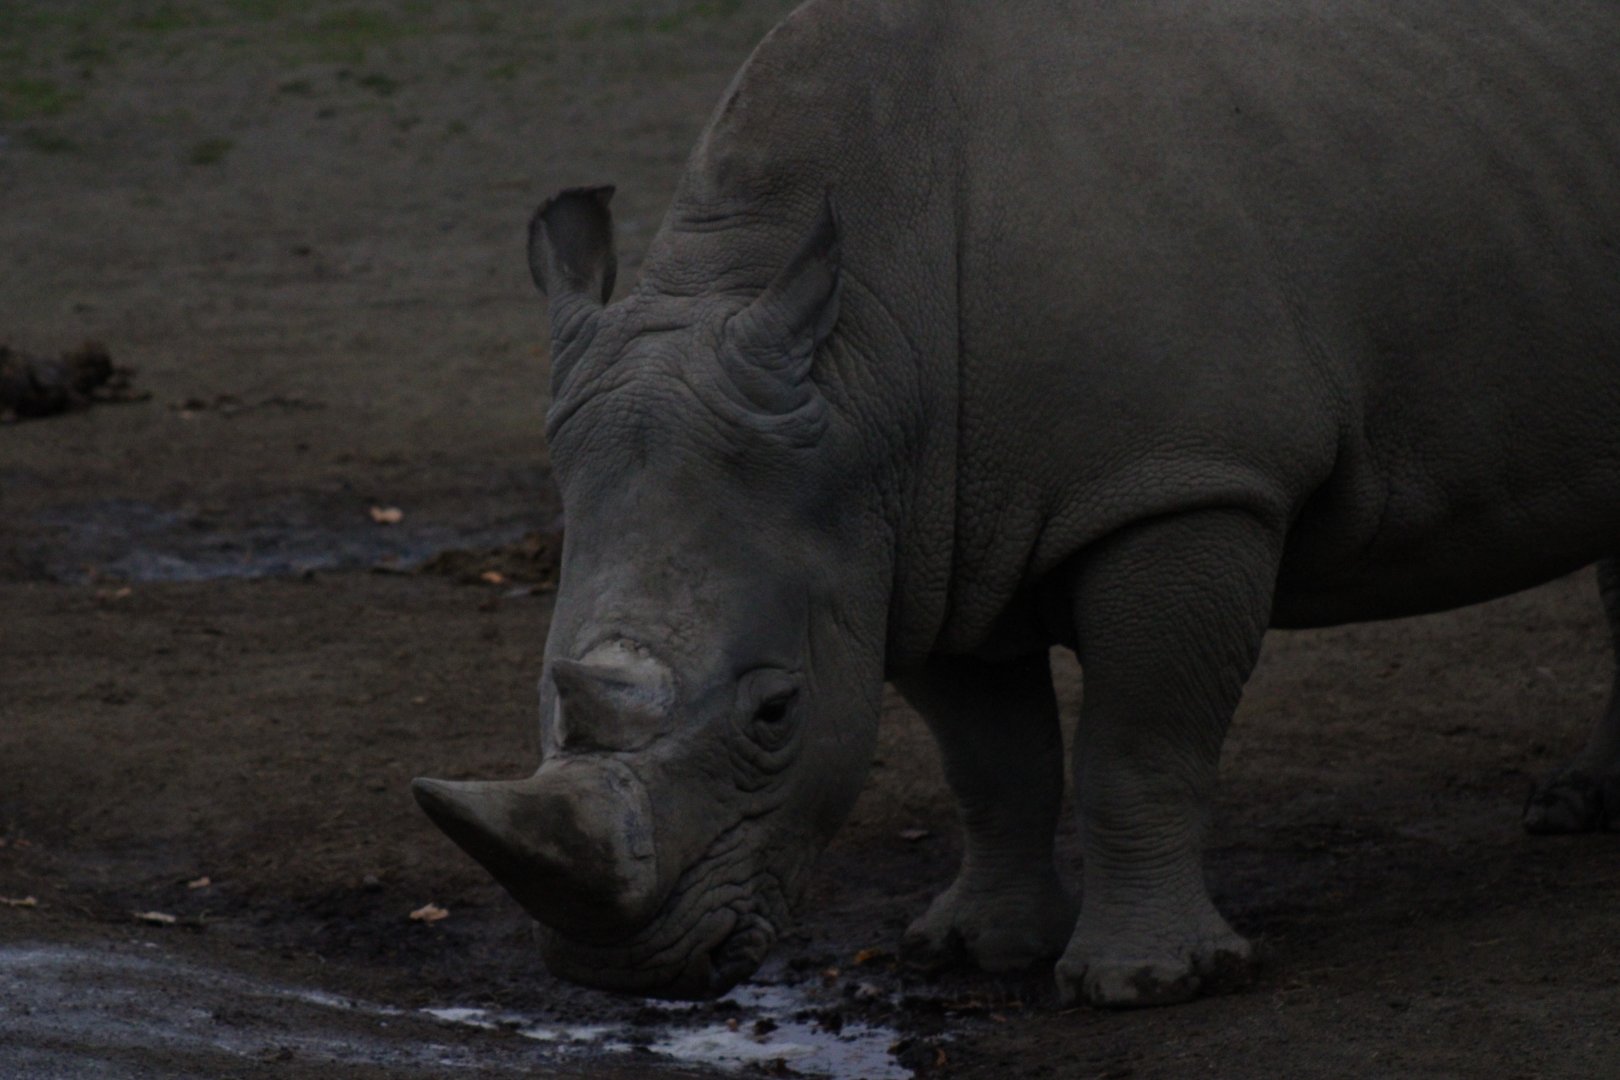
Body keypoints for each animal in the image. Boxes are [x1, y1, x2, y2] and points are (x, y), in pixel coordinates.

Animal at [413, 0, 1620, 1007]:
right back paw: (1579, 811)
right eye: (544, 694)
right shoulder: (916, 531)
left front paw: (1147, 984)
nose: (615, 972)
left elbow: (1139, 745)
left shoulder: (1184, 481)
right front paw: (972, 951)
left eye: (776, 714)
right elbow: (994, 760)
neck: (864, 366)